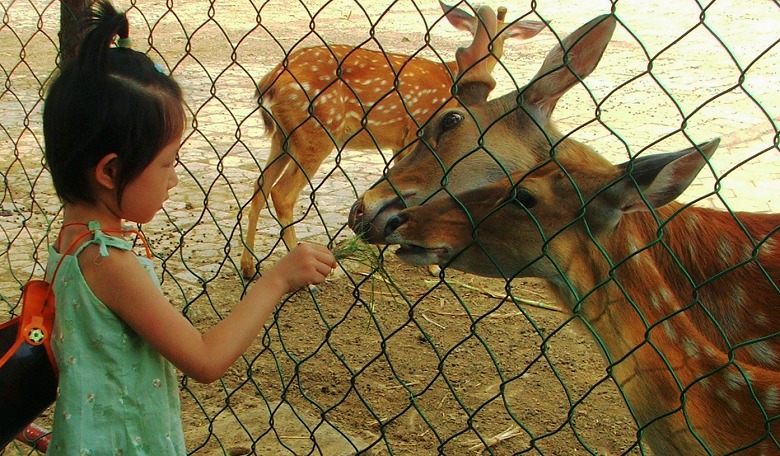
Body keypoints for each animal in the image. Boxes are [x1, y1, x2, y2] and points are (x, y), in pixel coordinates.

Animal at [241, 0, 544, 278]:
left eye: (505, 34)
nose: (489, 52)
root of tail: (270, 81)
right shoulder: (417, 131)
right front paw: (432, 265)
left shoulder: (402, 141)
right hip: (317, 132)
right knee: (282, 193)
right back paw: (314, 270)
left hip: (283, 137)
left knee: (260, 186)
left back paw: (248, 266)